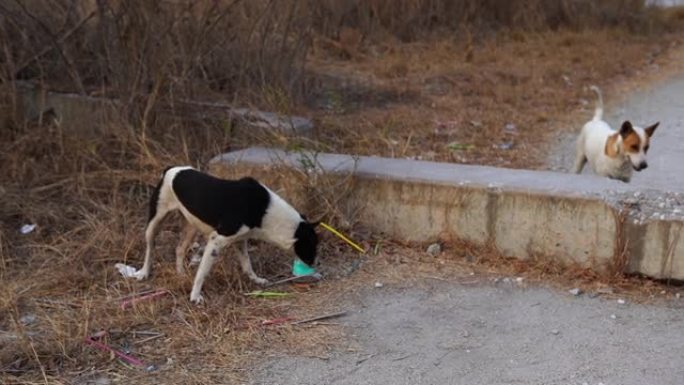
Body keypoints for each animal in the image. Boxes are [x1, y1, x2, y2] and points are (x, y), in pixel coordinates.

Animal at [138, 166, 322, 304]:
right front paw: (195, 296)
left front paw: (256, 280)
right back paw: (143, 272)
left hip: (191, 226)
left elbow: (247, 265)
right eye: (312, 246)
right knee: (150, 247)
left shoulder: (240, 240)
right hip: (155, 221)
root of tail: (170, 169)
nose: (316, 264)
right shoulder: (216, 241)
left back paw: (181, 274)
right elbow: (202, 272)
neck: (265, 211)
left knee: (179, 249)